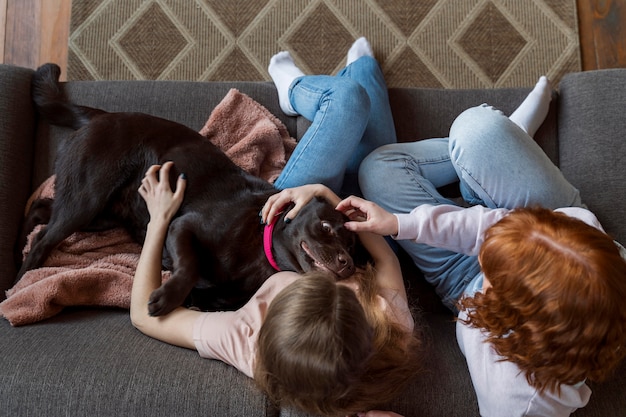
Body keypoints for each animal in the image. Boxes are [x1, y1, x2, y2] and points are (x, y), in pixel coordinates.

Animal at [17, 63, 364, 314]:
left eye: (353, 247)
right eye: (325, 227)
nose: (347, 263)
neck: (261, 249)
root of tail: (100, 115)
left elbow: (208, 294)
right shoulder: (183, 226)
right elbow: (190, 264)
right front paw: (168, 296)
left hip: (101, 215)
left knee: (41, 210)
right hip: (87, 200)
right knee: (43, 239)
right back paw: (20, 279)